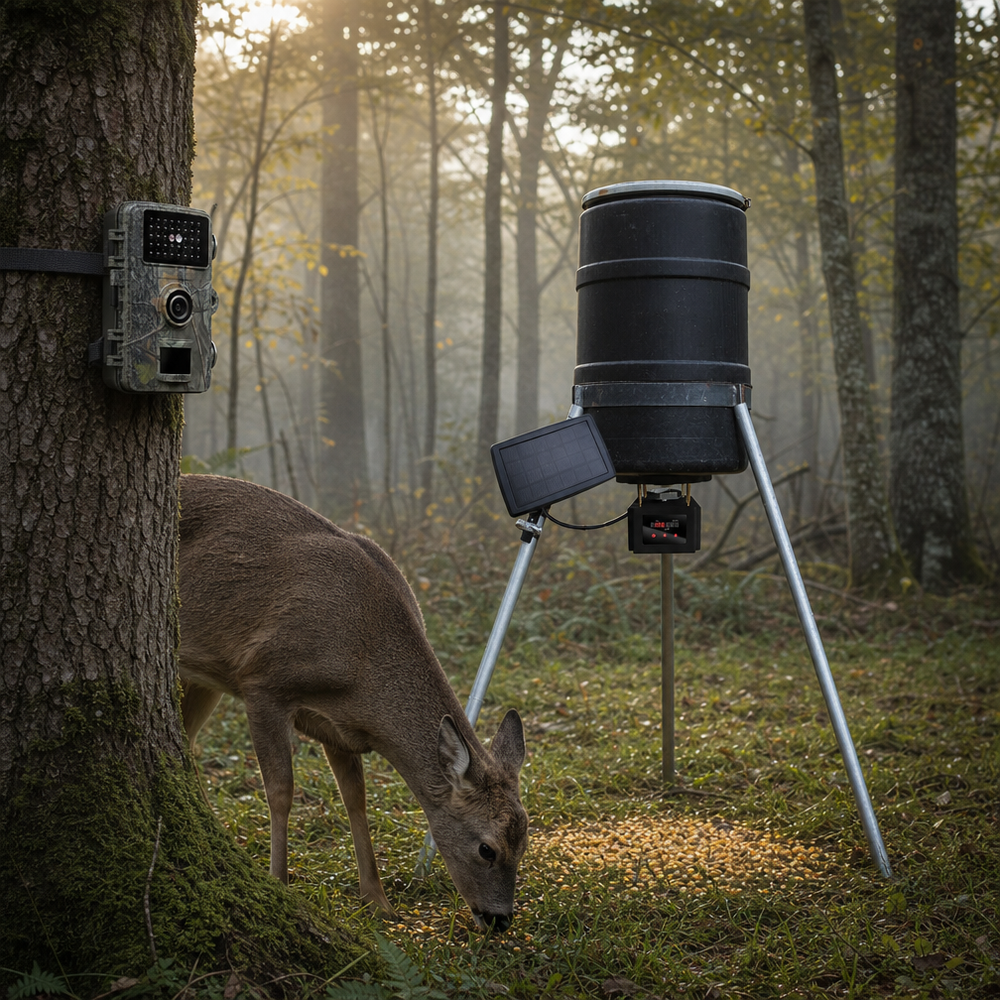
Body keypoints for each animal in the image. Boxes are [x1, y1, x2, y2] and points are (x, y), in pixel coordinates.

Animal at [176, 474, 528, 932]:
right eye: (487, 848)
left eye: (524, 842)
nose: (500, 919)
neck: (362, 667)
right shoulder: (262, 681)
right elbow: (281, 791)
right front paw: (278, 883)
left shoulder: (339, 728)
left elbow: (356, 800)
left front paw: (378, 901)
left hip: (204, 678)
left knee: (185, 741)